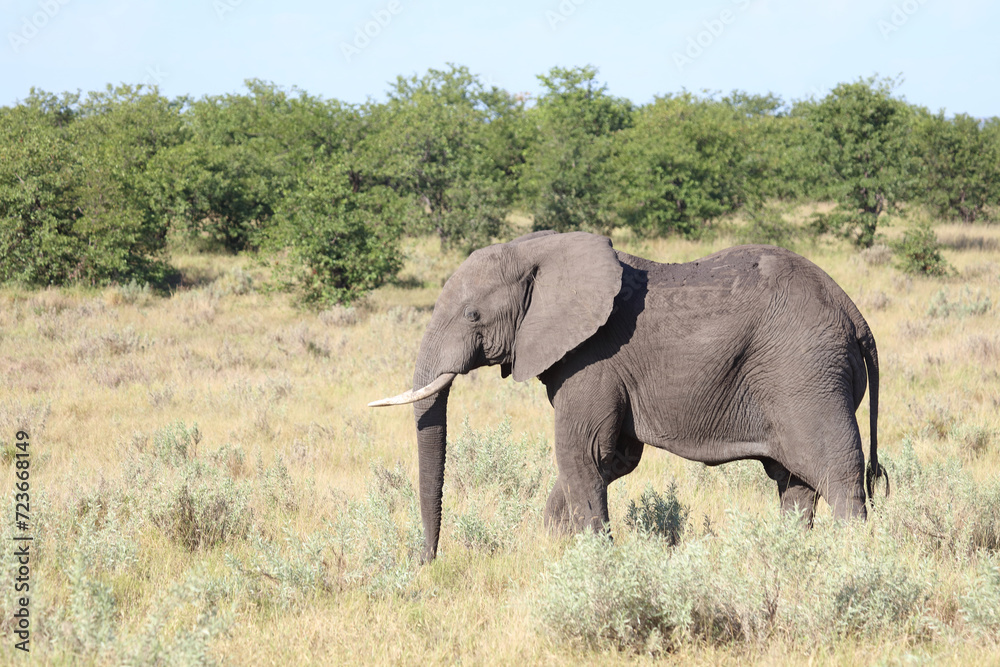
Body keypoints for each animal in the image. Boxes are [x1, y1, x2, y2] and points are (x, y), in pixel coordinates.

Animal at [372, 232, 888, 560]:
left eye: (473, 315)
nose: (426, 561)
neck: (540, 249)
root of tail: (855, 315)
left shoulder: (592, 358)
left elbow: (582, 453)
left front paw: (596, 563)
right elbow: (611, 459)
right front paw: (555, 547)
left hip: (806, 373)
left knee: (837, 474)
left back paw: (855, 561)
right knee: (794, 483)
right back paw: (791, 554)